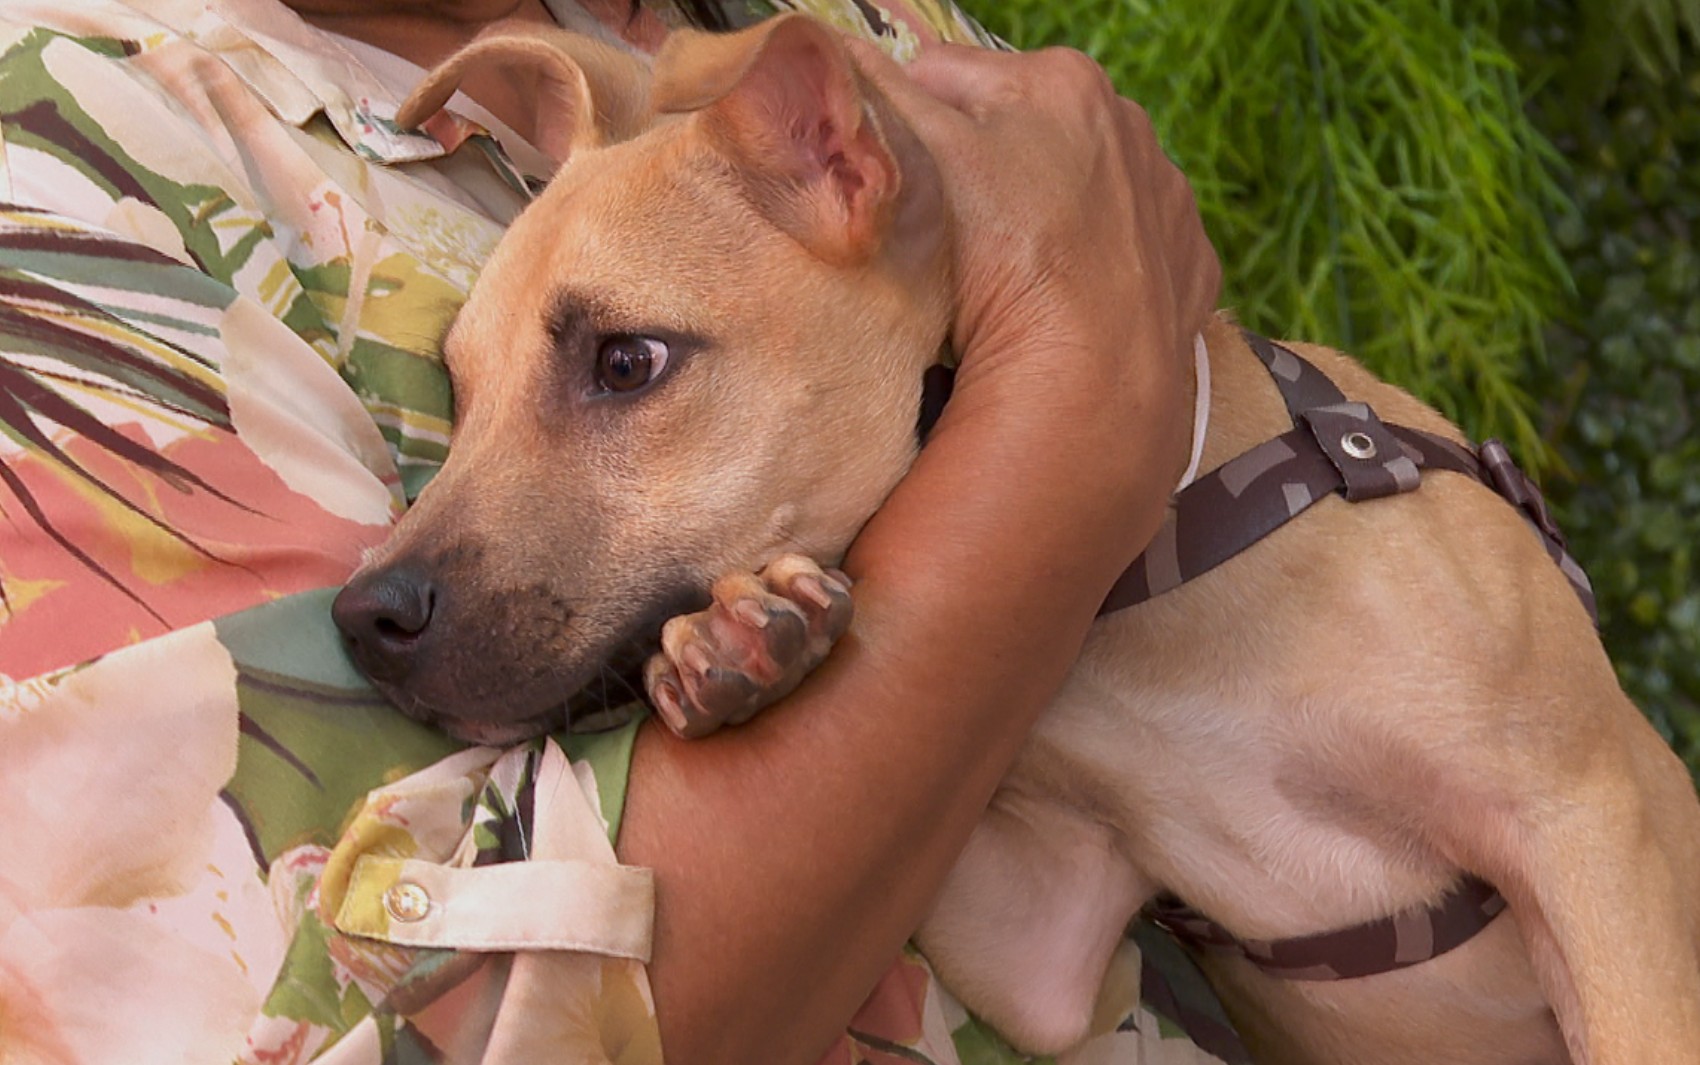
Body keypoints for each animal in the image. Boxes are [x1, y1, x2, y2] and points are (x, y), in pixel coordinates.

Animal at [331, 16, 1700, 1061]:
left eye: (625, 362)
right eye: (457, 385)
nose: (361, 620)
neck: (1143, 600)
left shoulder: (1594, 833)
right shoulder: (1042, 934)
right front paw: (735, 647)